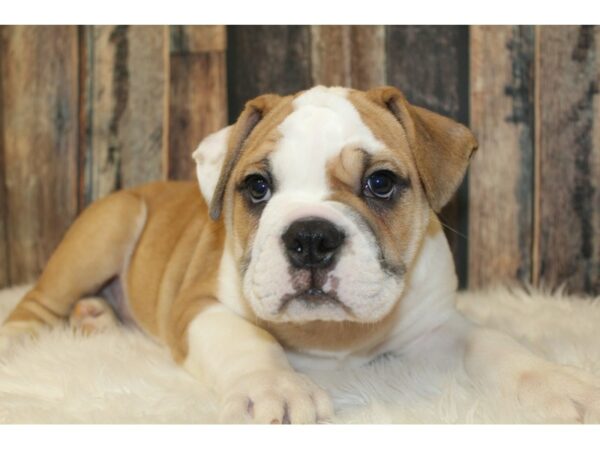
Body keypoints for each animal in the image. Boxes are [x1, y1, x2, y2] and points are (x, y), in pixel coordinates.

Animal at [1, 86, 600, 424]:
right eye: (256, 187)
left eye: (381, 183)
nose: (311, 237)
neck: (330, 338)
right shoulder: (201, 309)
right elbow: (250, 341)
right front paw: (278, 388)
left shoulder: (437, 328)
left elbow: (496, 345)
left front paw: (560, 382)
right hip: (108, 229)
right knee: (35, 304)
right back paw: (25, 338)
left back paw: (97, 318)